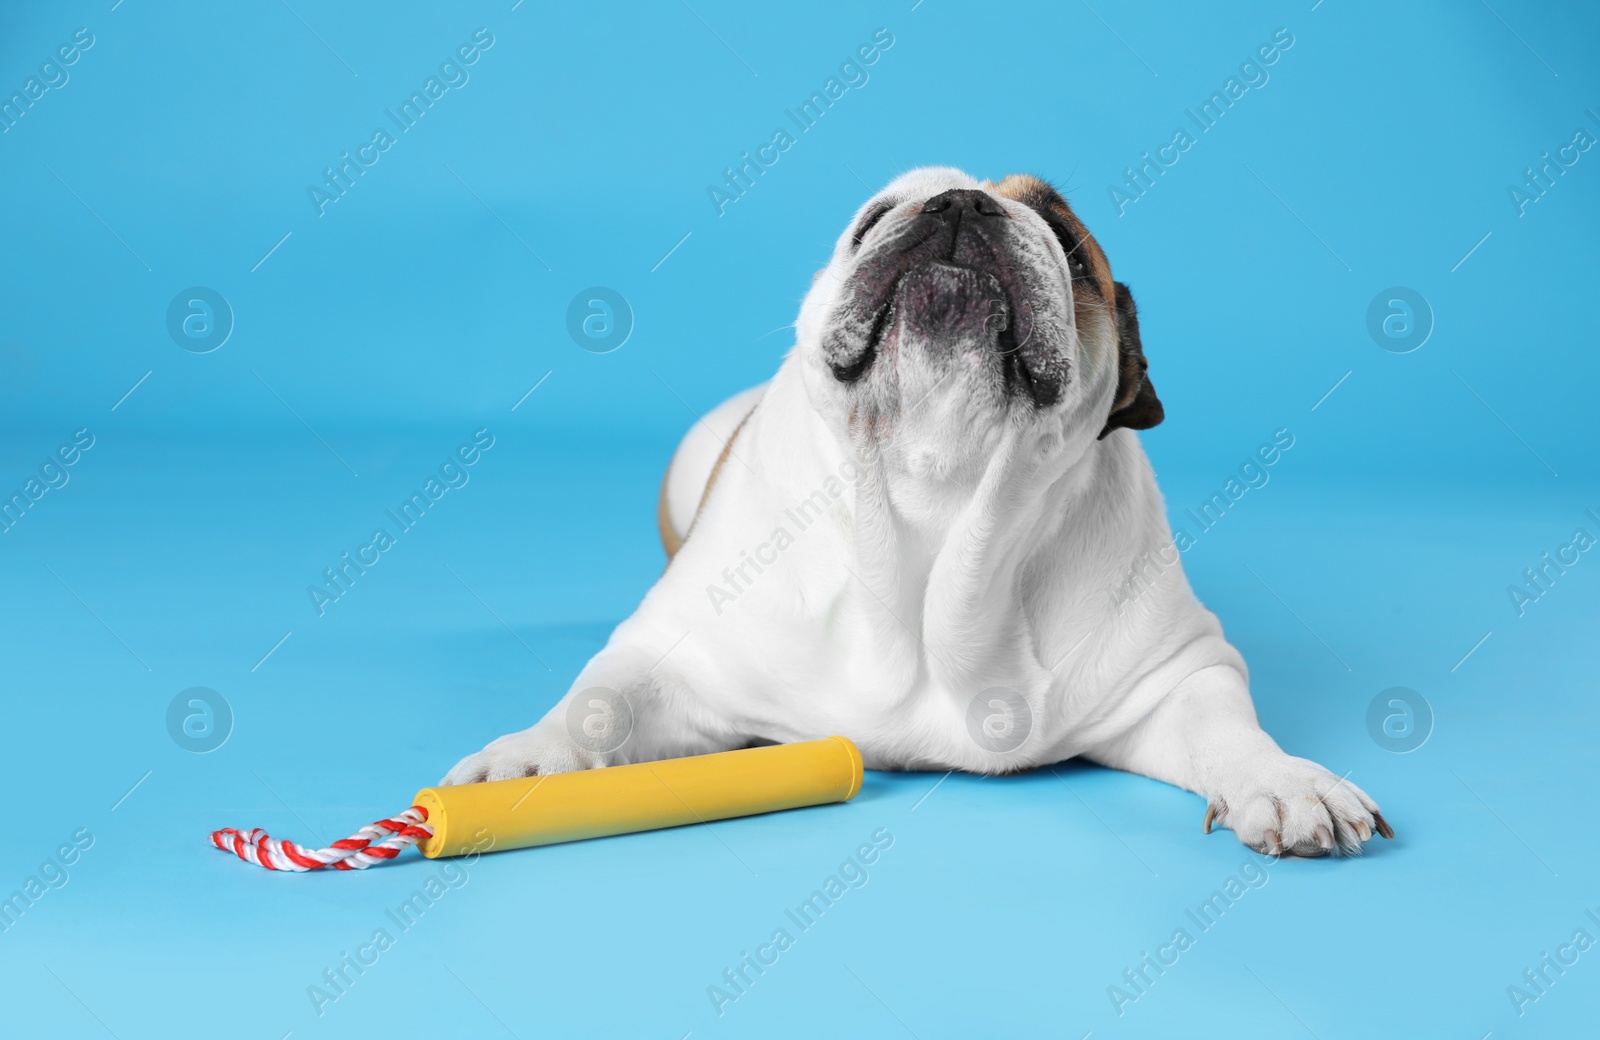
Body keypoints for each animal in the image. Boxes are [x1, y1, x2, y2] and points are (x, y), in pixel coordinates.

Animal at [448, 166, 1388, 857]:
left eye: (1069, 244)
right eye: (873, 222)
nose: (963, 204)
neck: (941, 495)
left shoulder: (1177, 671)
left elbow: (1226, 725)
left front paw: (1287, 780)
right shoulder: (671, 655)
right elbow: (598, 703)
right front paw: (528, 762)